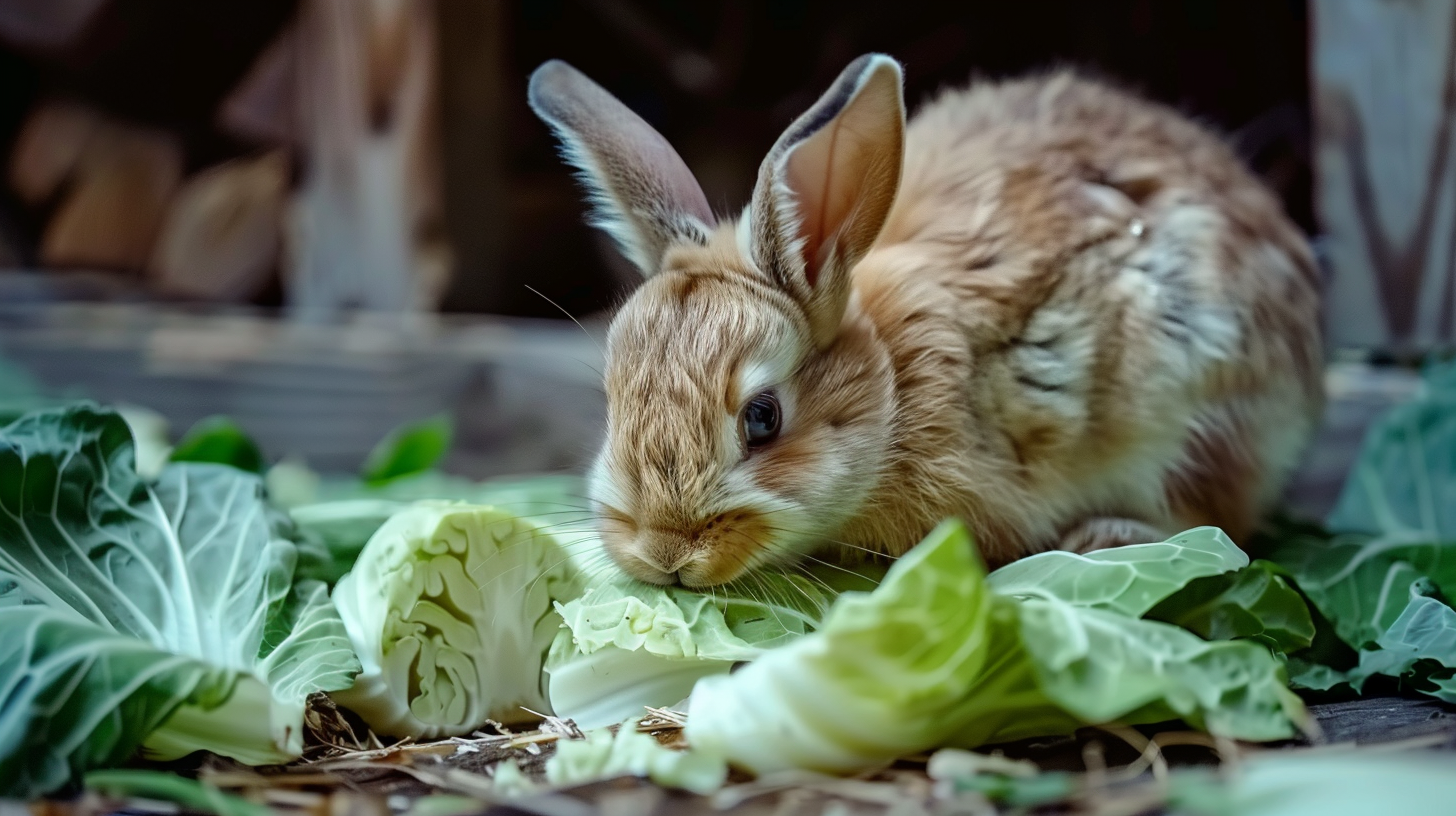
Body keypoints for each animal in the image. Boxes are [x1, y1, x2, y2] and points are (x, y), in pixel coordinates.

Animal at [524, 54, 1322, 585]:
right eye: (611, 404)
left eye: (763, 418)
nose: (665, 554)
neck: (895, 387)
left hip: (1201, 416)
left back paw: (1108, 537)